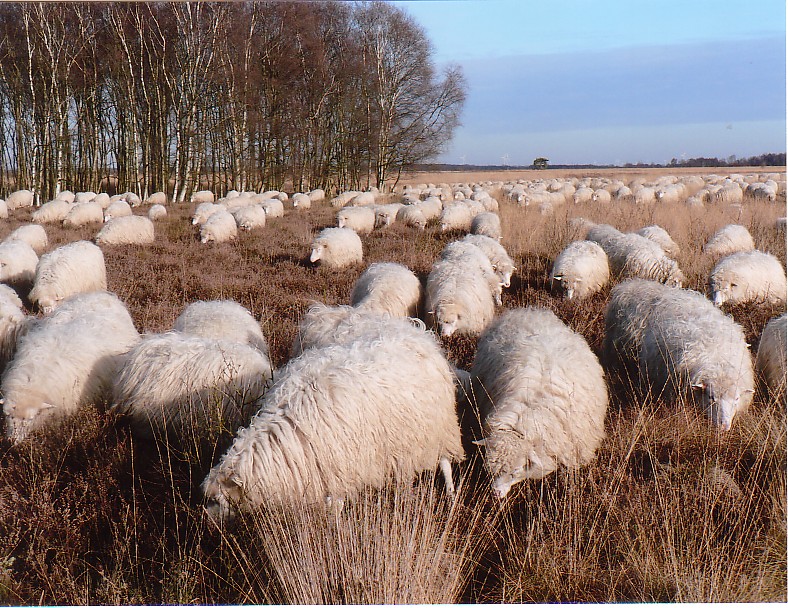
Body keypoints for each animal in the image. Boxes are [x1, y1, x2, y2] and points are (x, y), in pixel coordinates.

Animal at [200, 318, 464, 516]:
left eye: (219, 500)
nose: (208, 524)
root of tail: (416, 331)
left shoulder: (339, 469)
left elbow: (334, 510)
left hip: (441, 424)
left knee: (445, 461)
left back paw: (451, 495)